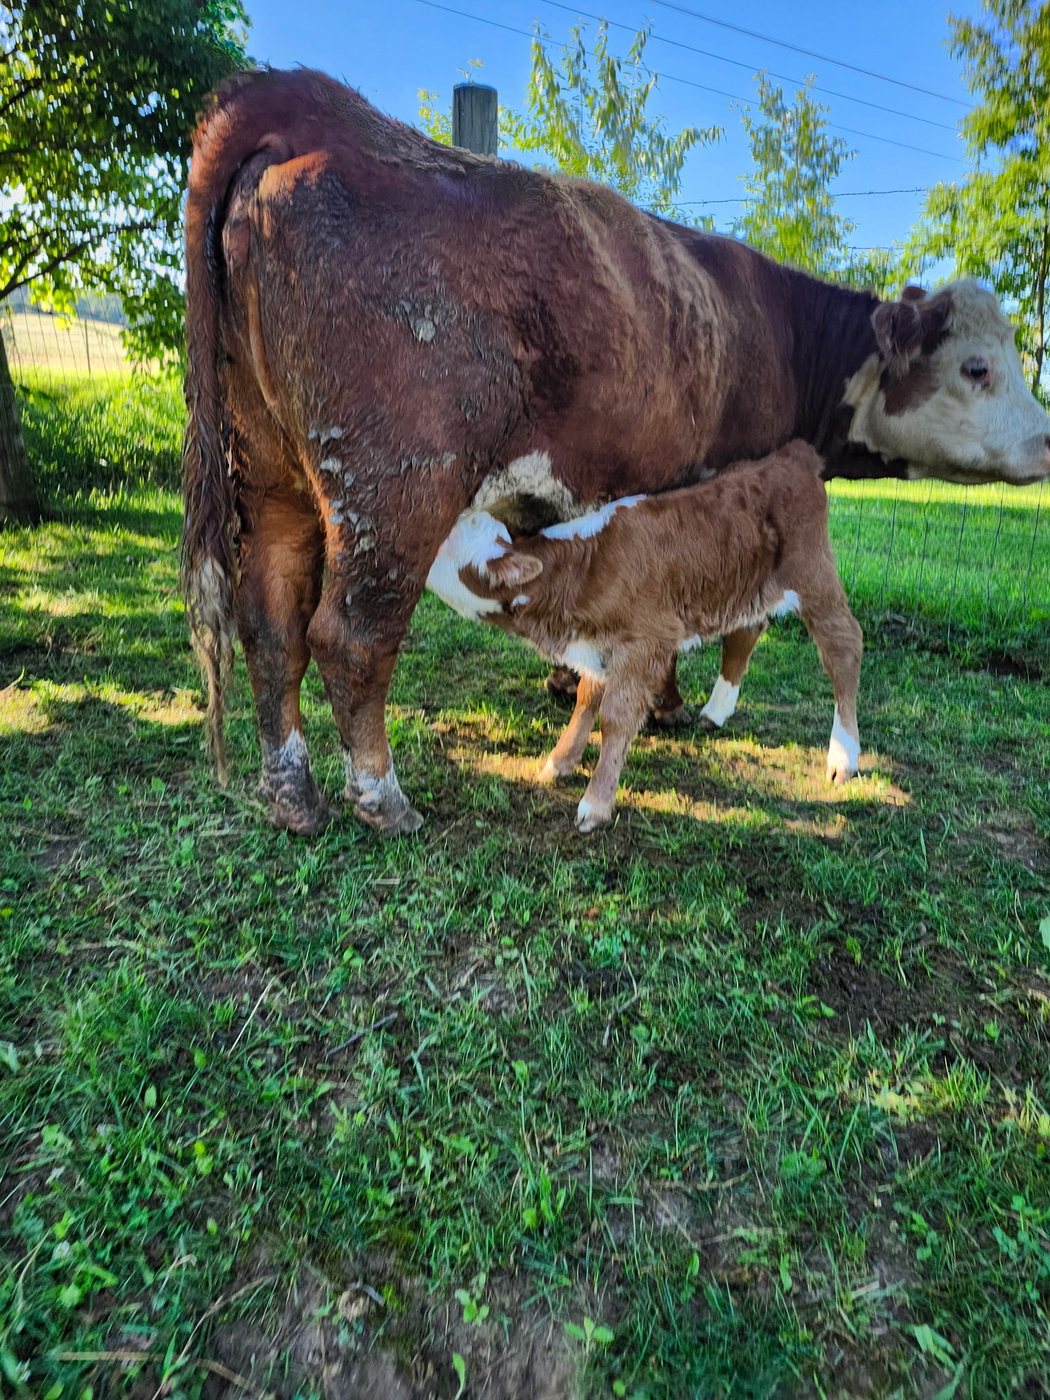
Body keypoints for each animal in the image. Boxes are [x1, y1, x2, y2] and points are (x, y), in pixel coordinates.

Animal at [427, 441, 862, 831]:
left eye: (446, 540)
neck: (581, 569)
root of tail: (794, 455)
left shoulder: (646, 640)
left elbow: (616, 718)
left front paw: (595, 804)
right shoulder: (599, 647)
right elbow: (586, 699)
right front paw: (559, 761)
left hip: (812, 574)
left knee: (843, 645)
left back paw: (843, 757)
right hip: (747, 583)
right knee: (748, 628)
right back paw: (716, 711)